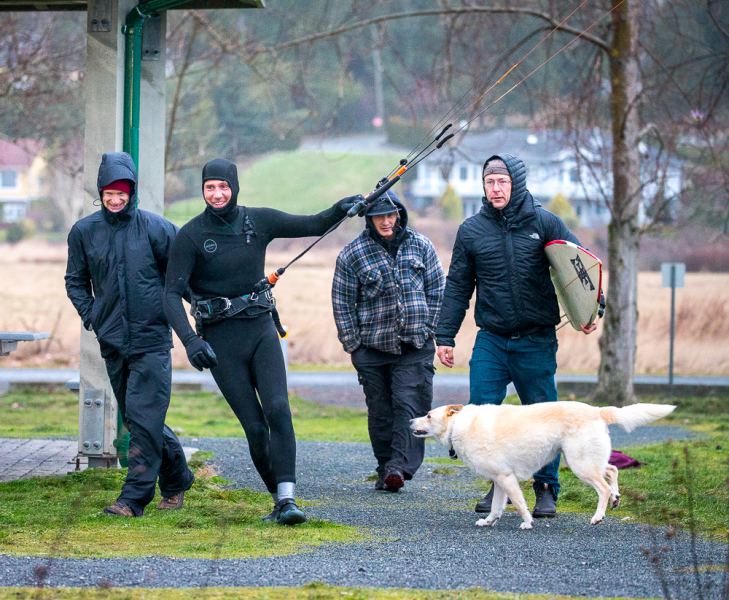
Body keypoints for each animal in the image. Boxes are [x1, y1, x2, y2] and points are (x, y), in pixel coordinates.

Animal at [412, 404, 672, 528]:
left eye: (428, 415)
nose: (410, 421)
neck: (459, 425)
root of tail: (597, 410)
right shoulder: (499, 480)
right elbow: (496, 507)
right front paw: (489, 521)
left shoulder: (506, 478)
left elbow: (519, 504)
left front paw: (527, 523)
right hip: (586, 459)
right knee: (612, 469)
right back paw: (616, 498)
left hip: (580, 465)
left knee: (603, 488)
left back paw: (599, 516)